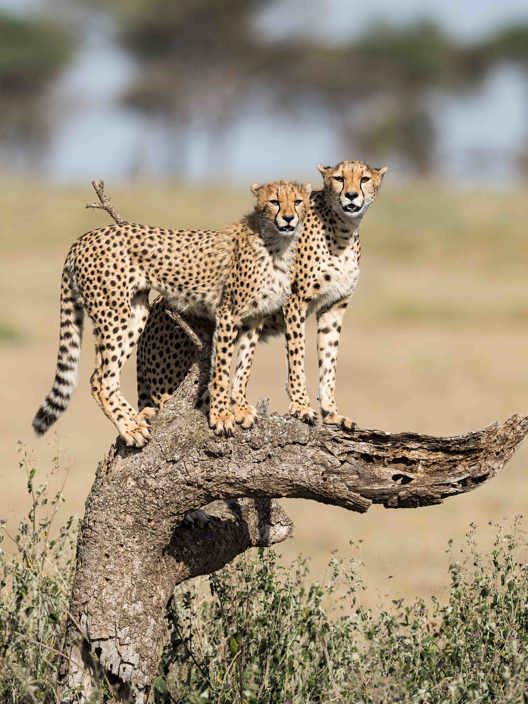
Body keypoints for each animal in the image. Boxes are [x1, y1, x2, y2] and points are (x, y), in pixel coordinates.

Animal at [32, 179, 312, 445]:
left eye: (297, 201)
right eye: (274, 202)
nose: (289, 218)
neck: (276, 244)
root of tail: (85, 237)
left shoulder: (254, 318)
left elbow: (244, 367)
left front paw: (240, 408)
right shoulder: (228, 314)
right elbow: (222, 369)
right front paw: (221, 416)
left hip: (136, 313)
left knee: (107, 377)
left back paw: (136, 420)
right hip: (114, 313)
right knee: (100, 379)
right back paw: (130, 429)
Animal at [136, 160, 386, 430]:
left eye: (363, 179)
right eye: (339, 178)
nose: (351, 195)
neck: (342, 231)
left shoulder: (334, 307)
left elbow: (329, 359)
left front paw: (331, 412)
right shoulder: (295, 301)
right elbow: (297, 356)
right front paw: (301, 406)